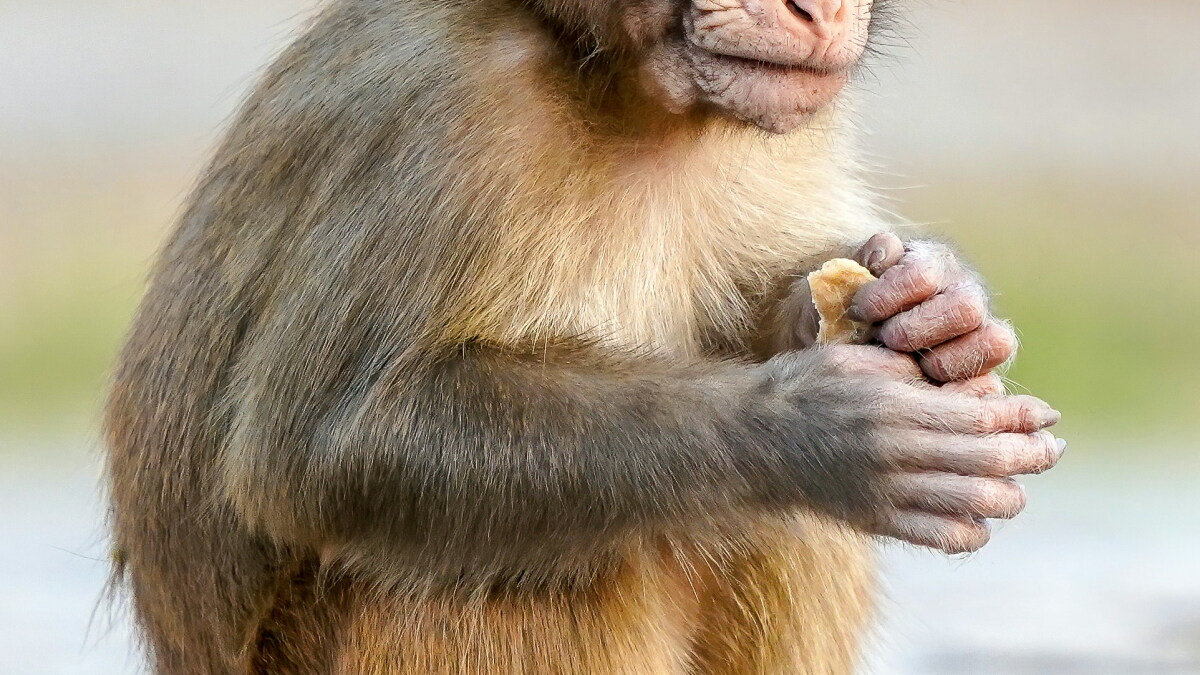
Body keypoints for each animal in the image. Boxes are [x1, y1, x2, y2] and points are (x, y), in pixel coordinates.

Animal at [103, 0, 1065, 673]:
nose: (818, 10)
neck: (613, 77)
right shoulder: (444, 110)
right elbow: (320, 451)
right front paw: (817, 433)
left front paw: (937, 302)